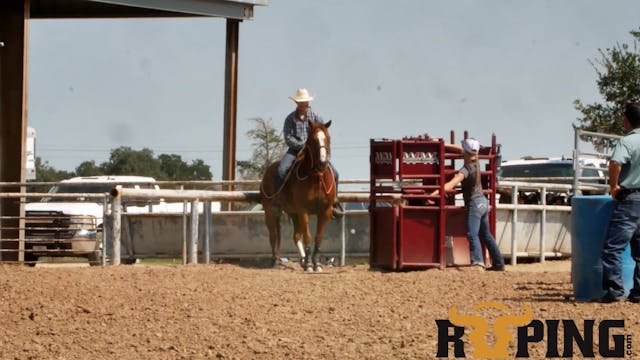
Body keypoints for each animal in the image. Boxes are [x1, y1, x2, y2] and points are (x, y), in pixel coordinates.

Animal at [260, 119, 338, 272]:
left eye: (328, 138)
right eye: (313, 140)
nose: (322, 163)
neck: (316, 178)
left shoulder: (325, 211)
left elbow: (318, 237)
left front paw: (316, 264)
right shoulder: (303, 211)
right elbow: (308, 237)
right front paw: (310, 266)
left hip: (293, 213)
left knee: (295, 236)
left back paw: (302, 260)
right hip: (270, 212)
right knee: (273, 236)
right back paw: (275, 261)